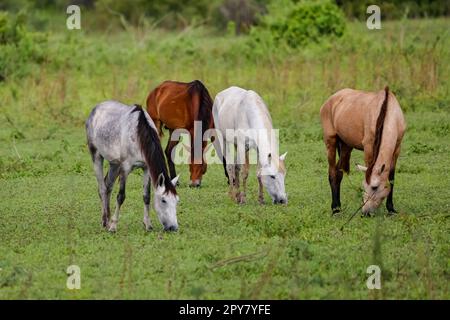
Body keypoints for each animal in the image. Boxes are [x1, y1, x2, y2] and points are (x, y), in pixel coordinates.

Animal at [85, 102, 179, 232]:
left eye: (177, 201)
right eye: (163, 200)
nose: (173, 227)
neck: (138, 133)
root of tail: (95, 109)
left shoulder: (146, 168)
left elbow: (146, 196)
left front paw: (148, 225)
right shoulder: (125, 168)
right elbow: (121, 196)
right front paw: (113, 226)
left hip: (114, 164)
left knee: (108, 186)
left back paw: (107, 220)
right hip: (97, 156)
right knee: (102, 189)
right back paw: (105, 222)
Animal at [320, 86, 408, 216]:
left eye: (375, 187)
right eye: (364, 186)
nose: (365, 212)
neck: (387, 111)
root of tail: (332, 98)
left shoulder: (397, 149)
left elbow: (391, 179)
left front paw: (391, 209)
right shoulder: (368, 148)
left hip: (346, 146)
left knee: (338, 172)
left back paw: (338, 207)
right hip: (330, 142)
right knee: (332, 173)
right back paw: (335, 209)